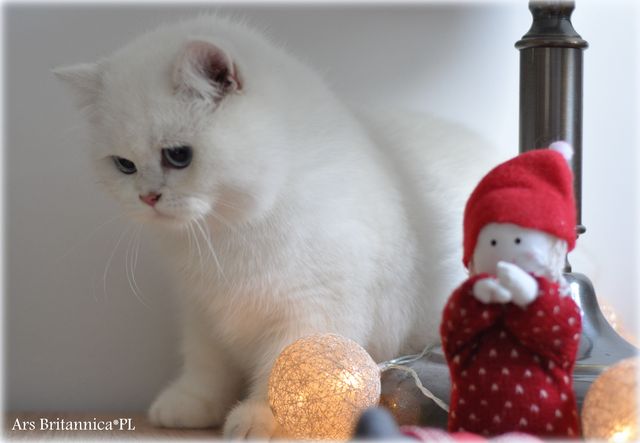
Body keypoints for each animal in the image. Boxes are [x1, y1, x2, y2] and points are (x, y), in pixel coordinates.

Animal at [55, 14, 504, 439]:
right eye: (124, 165)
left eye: (178, 155)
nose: (148, 198)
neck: (226, 232)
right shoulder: (203, 312)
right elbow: (206, 365)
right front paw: (191, 405)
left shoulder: (311, 309)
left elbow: (285, 369)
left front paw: (263, 420)